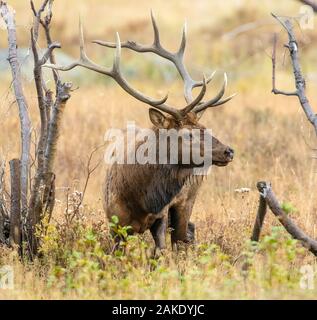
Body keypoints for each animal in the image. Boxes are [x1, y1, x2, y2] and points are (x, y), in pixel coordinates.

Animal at [45, 11, 236, 252]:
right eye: (187, 134)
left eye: (203, 127)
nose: (228, 151)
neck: (140, 199)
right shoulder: (114, 222)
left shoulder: (161, 216)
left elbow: (160, 251)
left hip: (188, 199)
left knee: (183, 236)